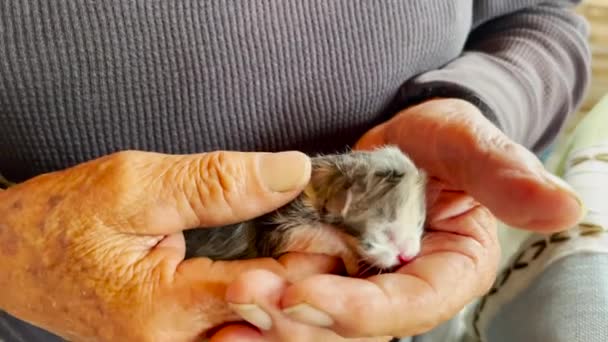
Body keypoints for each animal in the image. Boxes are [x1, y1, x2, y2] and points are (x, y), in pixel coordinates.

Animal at [183, 146, 426, 274]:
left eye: (419, 222)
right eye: (385, 227)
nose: (408, 256)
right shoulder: (276, 230)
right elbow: (322, 234)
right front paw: (352, 261)